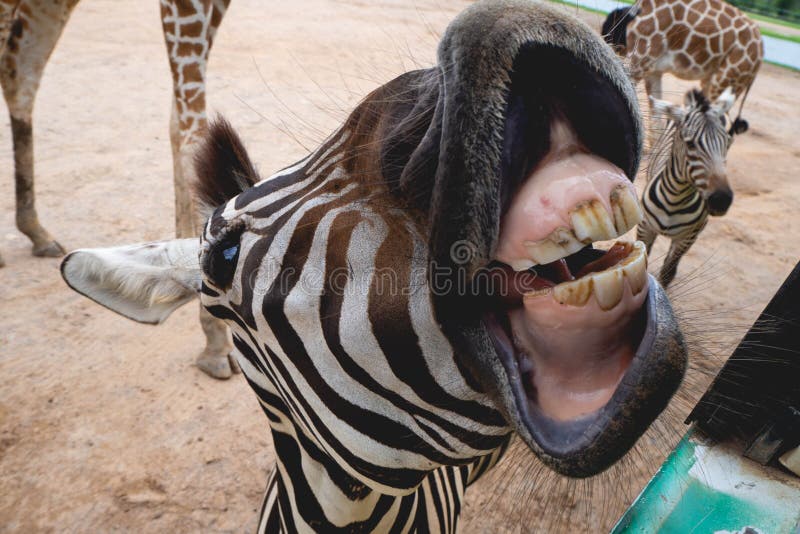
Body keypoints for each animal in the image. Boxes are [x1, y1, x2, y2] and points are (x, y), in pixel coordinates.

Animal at [637, 88, 737, 288]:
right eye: (690, 144)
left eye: (727, 143)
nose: (722, 200)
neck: (675, 199)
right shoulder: (645, 228)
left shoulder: (687, 238)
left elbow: (668, 273)